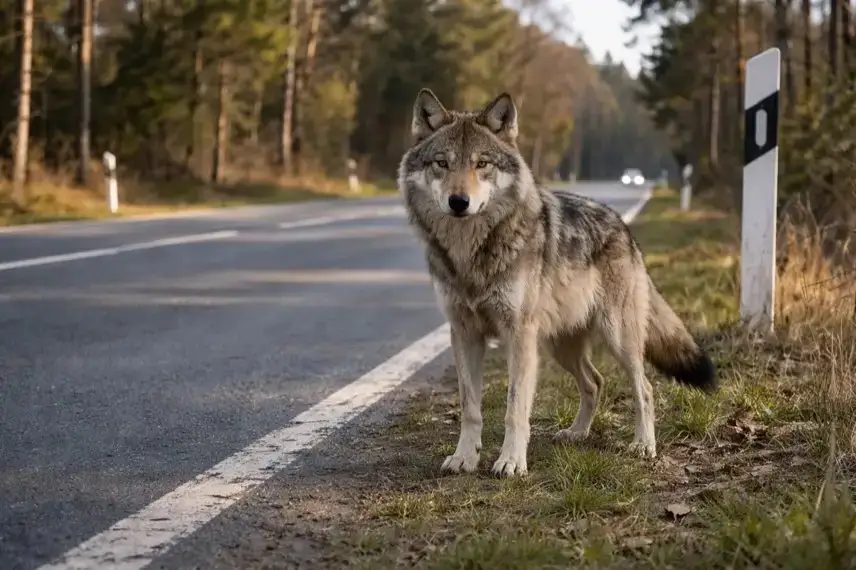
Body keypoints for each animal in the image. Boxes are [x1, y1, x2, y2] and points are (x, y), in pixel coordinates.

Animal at [397, 88, 717, 477]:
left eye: (482, 164)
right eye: (441, 164)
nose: (459, 202)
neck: (471, 253)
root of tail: (624, 228)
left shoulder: (518, 335)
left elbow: (515, 409)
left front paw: (511, 462)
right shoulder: (464, 333)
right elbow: (470, 408)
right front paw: (464, 458)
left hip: (617, 338)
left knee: (645, 388)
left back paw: (643, 445)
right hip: (558, 345)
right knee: (595, 382)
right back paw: (577, 433)